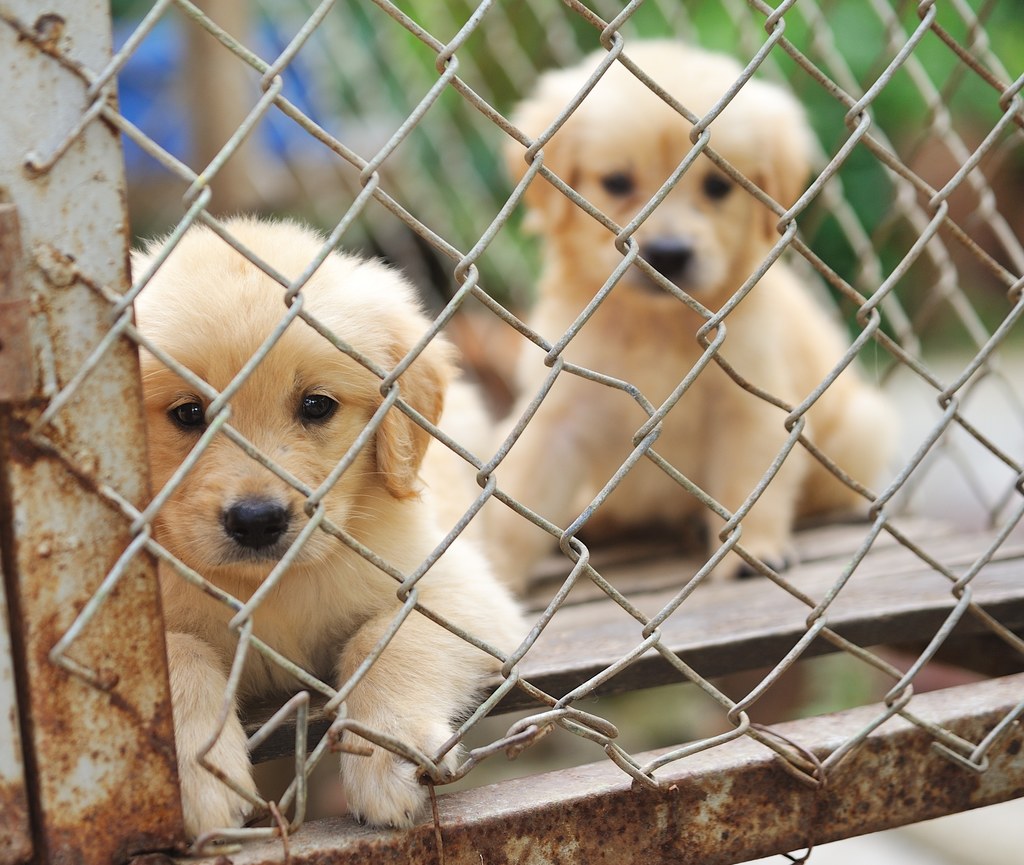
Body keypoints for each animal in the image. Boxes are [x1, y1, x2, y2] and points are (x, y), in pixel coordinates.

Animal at [132, 215, 524, 835]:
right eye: (189, 413)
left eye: (317, 406)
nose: (258, 521)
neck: (269, 589)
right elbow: (177, 651)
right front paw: (197, 779)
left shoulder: (453, 589)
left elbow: (385, 641)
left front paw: (388, 753)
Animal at [487, 42, 897, 593]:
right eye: (616, 181)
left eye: (718, 186)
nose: (669, 255)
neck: (658, 323)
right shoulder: (559, 413)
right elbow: (518, 503)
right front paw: (493, 571)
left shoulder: (750, 407)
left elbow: (749, 486)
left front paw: (752, 550)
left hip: (860, 428)